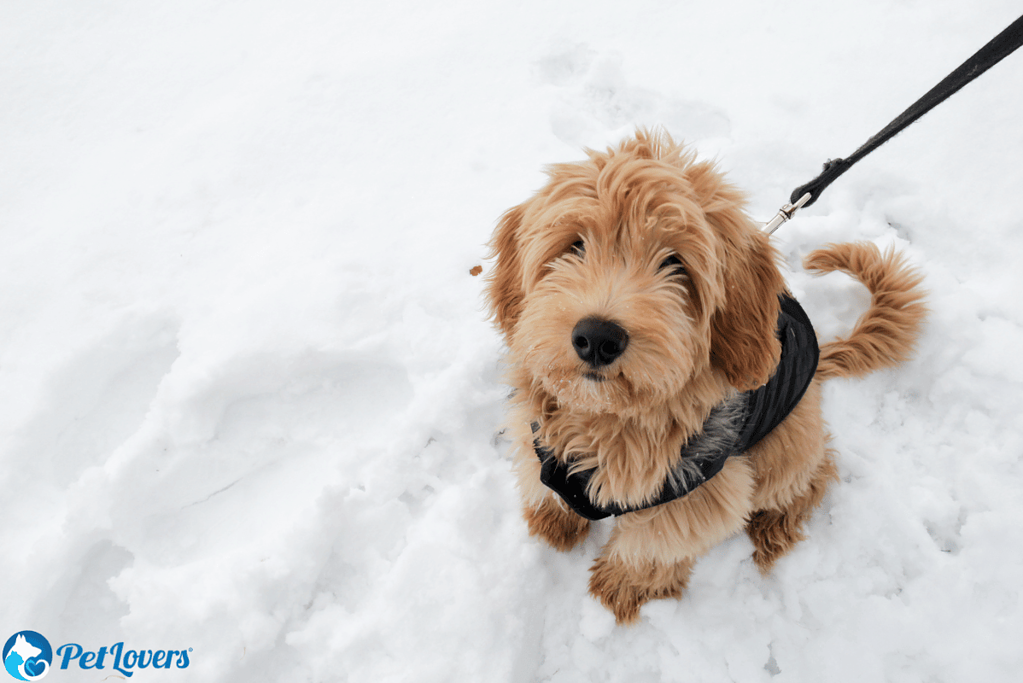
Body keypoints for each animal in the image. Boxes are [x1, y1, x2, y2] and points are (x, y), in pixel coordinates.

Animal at [484, 127, 928, 625]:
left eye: (675, 264)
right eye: (575, 245)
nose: (597, 337)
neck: (610, 420)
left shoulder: (700, 489)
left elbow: (654, 544)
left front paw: (622, 587)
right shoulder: (540, 443)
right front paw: (554, 520)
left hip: (784, 444)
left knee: (815, 473)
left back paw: (776, 525)